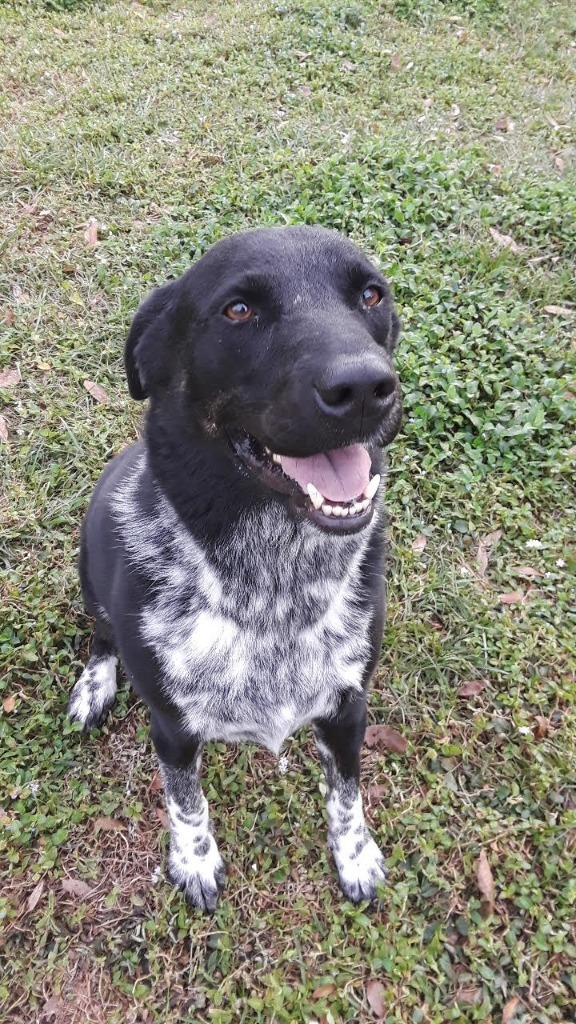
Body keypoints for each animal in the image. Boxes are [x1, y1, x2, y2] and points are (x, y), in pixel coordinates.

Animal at [67, 226, 399, 913]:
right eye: (238, 310)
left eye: (371, 295)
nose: (363, 387)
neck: (273, 586)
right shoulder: (172, 727)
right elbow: (185, 803)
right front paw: (194, 862)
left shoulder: (348, 708)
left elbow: (347, 797)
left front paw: (355, 858)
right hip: (89, 570)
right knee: (101, 636)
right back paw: (94, 684)